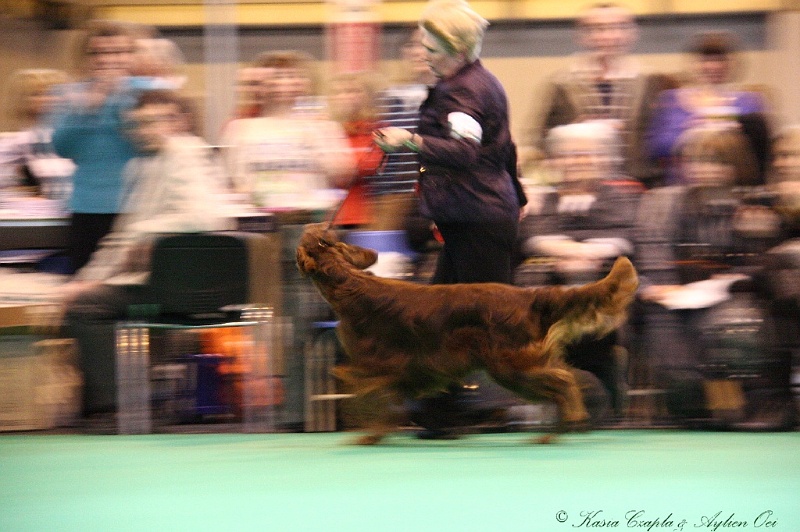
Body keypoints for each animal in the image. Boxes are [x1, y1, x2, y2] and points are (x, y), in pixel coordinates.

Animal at [294, 222, 636, 442]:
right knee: (567, 378)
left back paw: (564, 425)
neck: (348, 282)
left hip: (511, 365)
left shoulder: (378, 366)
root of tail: (530, 296)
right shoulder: (389, 369)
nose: (318, 220)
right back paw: (564, 426)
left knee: (563, 381)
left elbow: (359, 391)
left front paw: (368, 434)